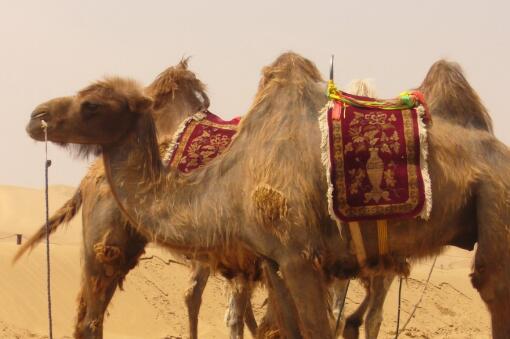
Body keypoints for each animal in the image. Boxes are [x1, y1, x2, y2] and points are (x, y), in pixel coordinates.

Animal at [24, 51, 510, 339]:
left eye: (92, 104)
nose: (36, 115)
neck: (232, 178)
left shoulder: (300, 256)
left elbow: (321, 328)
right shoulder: (278, 260)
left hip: (495, 202)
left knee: (491, 285)